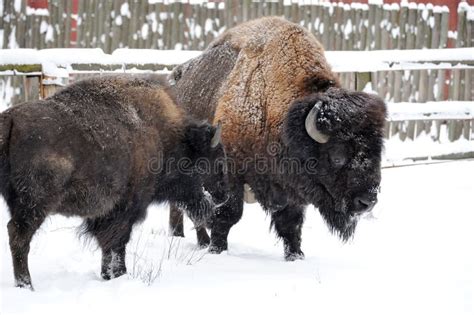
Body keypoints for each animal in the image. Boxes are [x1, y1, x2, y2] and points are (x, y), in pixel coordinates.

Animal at [0, 74, 228, 292]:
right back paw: (27, 285)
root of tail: (10, 119)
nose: (223, 197)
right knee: (18, 236)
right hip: (35, 204)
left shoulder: (106, 213)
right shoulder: (126, 209)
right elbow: (118, 242)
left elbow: (108, 245)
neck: (165, 137)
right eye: (212, 161)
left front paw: (108, 274)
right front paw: (119, 273)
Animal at [167, 16, 386, 260]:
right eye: (337, 155)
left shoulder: (290, 185)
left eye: (378, 152)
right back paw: (187, 238)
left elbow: (291, 222)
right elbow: (229, 212)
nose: (367, 201)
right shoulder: (231, 171)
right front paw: (218, 249)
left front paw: (295, 256)